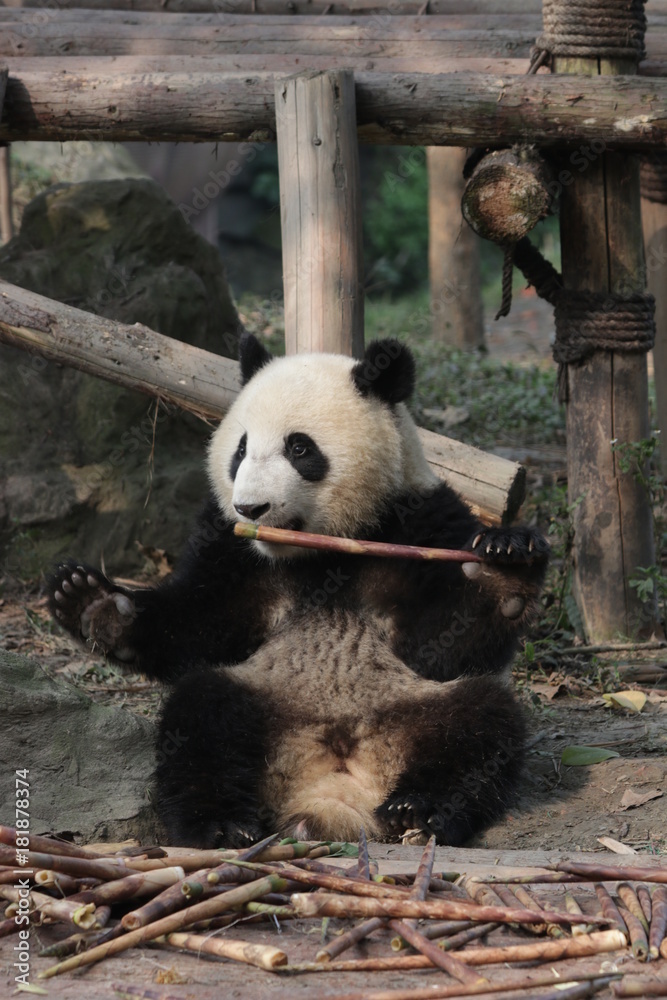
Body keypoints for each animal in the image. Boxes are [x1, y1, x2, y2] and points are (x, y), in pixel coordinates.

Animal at [49, 334, 549, 848]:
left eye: (299, 448)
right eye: (241, 449)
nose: (250, 508)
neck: (318, 552)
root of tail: (328, 784)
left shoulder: (419, 521)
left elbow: (448, 643)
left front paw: (504, 564)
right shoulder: (230, 545)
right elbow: (200, 622)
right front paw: (93, 603)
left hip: (413, 702)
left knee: (480, 721)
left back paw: (417, 808)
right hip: (264, 693)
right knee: (201, 717)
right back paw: (222, 824)